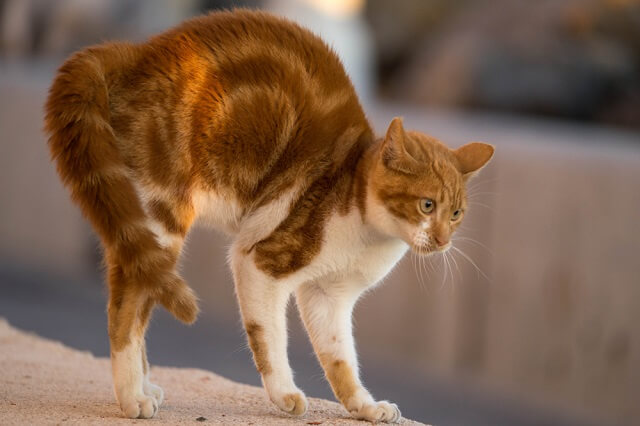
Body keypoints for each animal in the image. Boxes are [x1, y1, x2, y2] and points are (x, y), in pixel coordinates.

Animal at [45, 7, 496, 422]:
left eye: (457, 213)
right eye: (427, 205)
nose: (443, 240)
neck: (367, 230)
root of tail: (136, 49)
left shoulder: (329, 296)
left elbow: (340, 357)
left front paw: (364, 406)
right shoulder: (259, 259)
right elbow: (270, 336)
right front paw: (284, 393)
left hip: (142, 225)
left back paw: (144, 386)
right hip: (162, 216)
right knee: (126, 306)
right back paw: (130, 397)